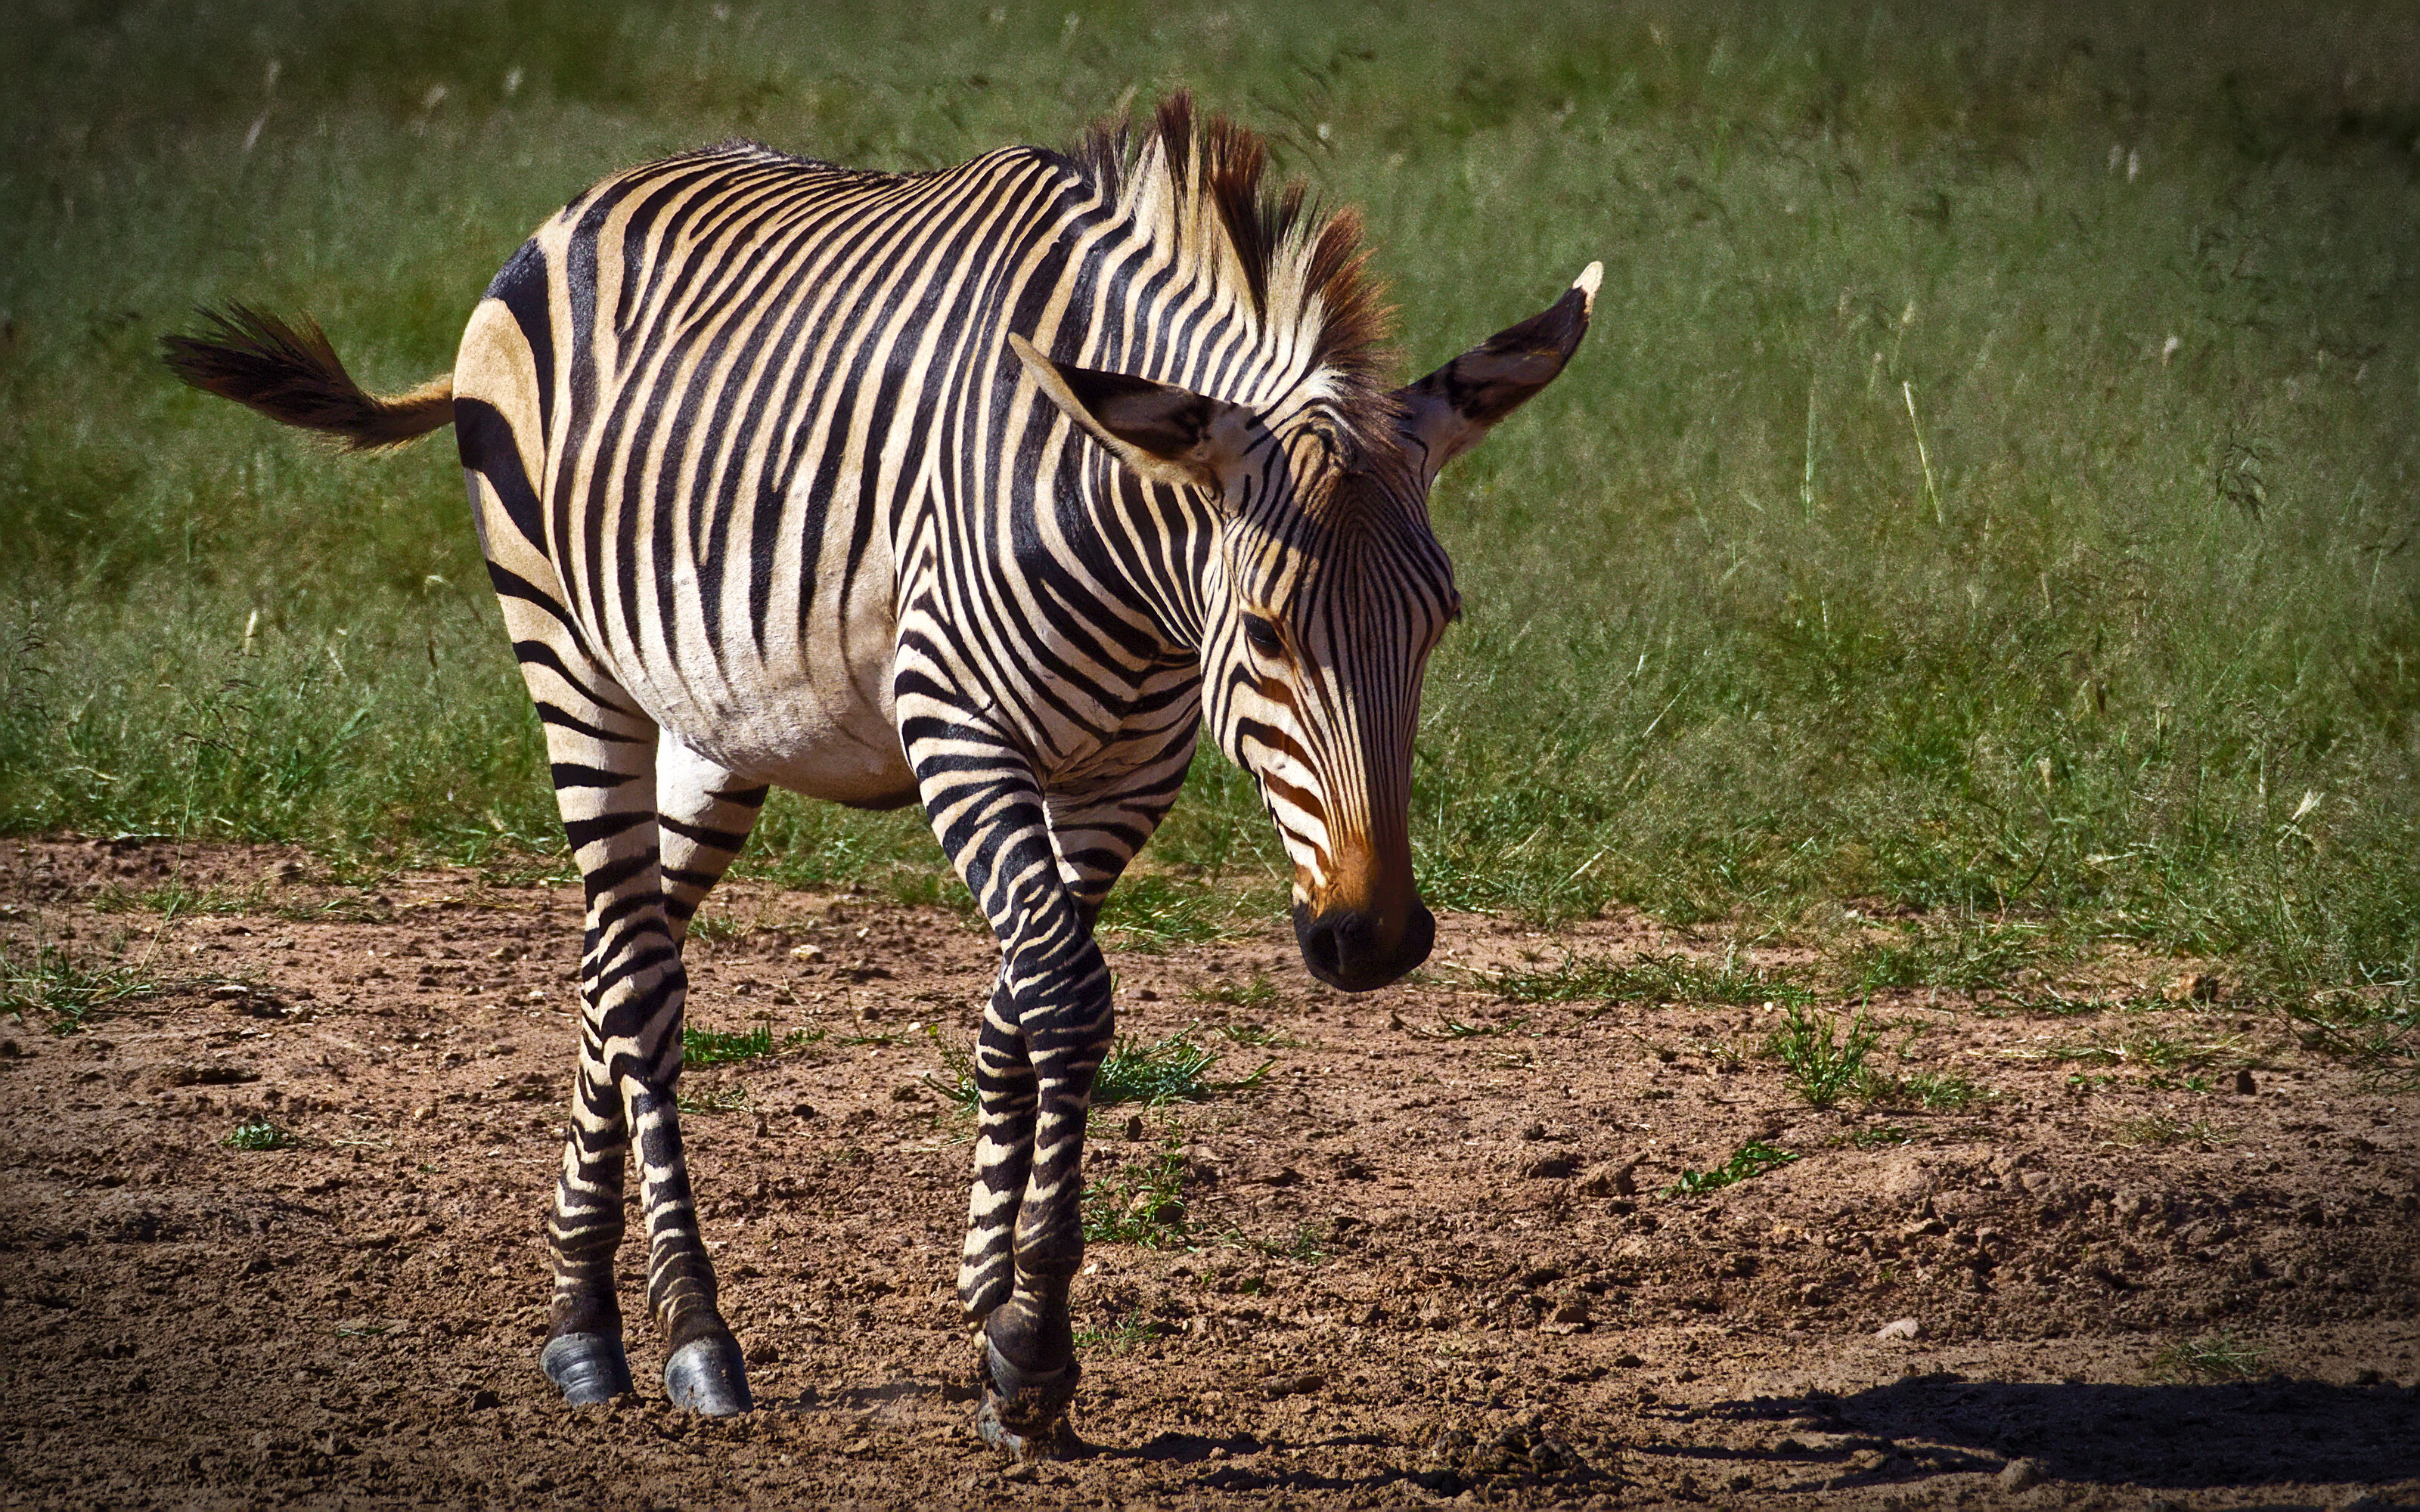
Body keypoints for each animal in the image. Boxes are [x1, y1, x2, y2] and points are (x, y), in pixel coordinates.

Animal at [164, 94, 1594, 1454]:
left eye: (1440, 623)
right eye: (1265, 632)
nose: (1373, 939)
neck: (1136, 561)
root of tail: (584, 202)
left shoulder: (1121, 780)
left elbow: (1019, 1008)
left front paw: (990, 1306)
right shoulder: (957, 729)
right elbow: (1067, 997)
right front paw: (1031, 1354)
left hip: (716, 727)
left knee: (613, 960)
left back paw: (581, 1318)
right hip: (570, 659)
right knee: (637, 986)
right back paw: (686, 1336)